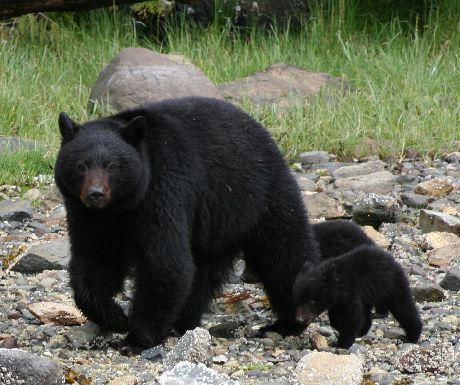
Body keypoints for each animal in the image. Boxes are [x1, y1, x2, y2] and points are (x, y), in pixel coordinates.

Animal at [54, 95, 320, 352]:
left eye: (112, 166)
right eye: (81, 165)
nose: (95, 194)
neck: (119, 209)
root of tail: (265, 134)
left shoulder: (164, 190)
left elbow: (166, 263)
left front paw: (134, 340)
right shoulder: (87, 216)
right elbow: (95, 260)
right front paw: (115, 317)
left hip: (262, 196)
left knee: (285, 256)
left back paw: (288, 323)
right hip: (216, 226)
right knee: (202, 271)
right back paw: (183, 321)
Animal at [292, 246, 422, 348]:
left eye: (312, 301)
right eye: (298, 300)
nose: (299, 319)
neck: (337, 284)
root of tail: (393, 260)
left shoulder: (350, 292)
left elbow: (353, 316)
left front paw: (341, 343)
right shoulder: (337, 301)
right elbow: (336, 317)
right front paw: (342, 328)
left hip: (393, 284)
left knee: (403, 308)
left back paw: (411, 336)